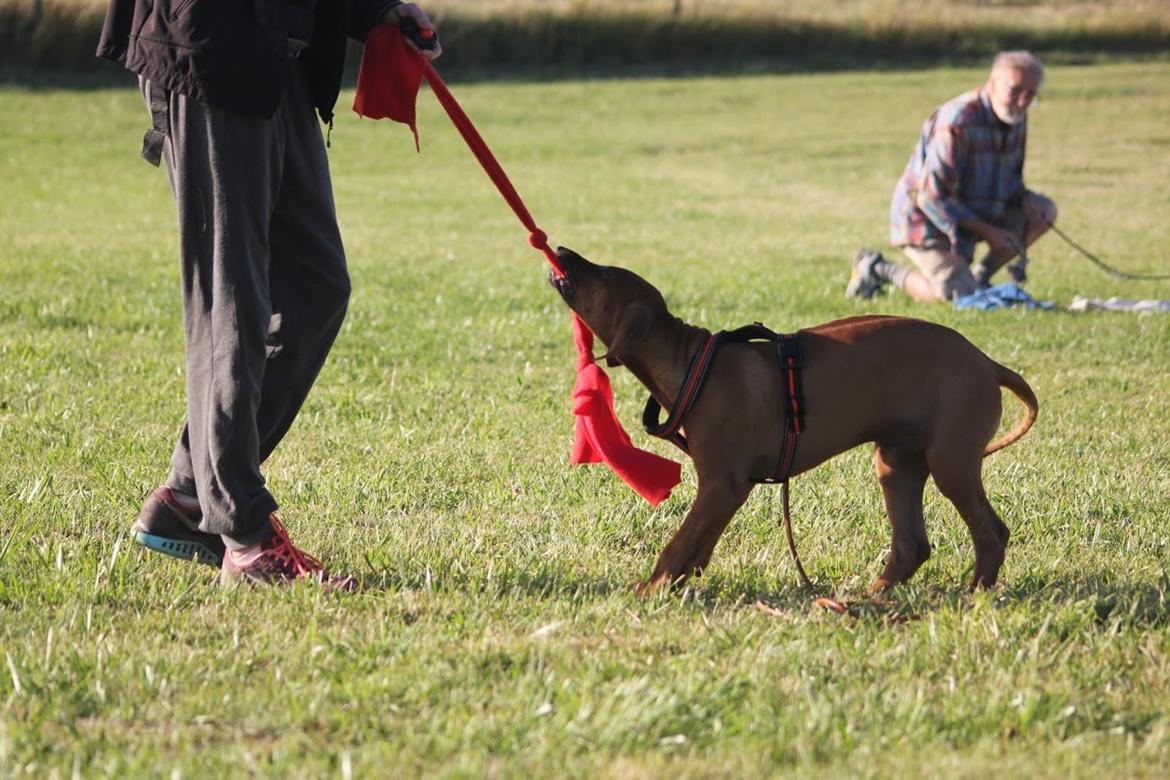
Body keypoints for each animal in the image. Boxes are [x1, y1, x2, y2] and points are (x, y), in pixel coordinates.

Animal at [549, 246, 1043, 594]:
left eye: (604, 274)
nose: (564, 251)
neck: (692, 363)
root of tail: (988, 363)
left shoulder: (723, 483)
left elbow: (681, 541)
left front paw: (652, 589)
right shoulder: (726, 488)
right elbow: (700, 543)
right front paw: (680, 583)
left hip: (951, 461)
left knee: (991, 532)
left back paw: (975, 592)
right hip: (897, 463)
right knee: (912, 545)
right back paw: (871, 595)